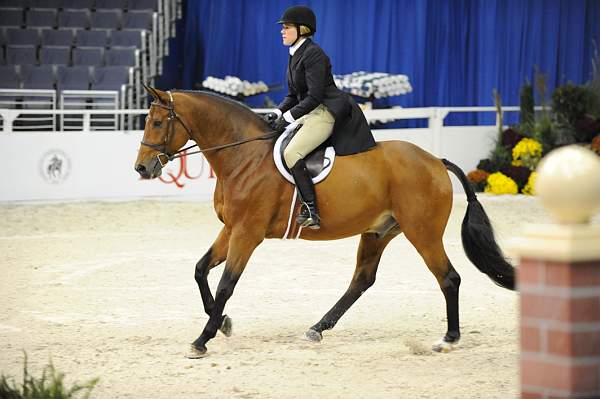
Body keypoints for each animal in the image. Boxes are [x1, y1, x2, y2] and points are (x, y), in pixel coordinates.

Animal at [132, 88, 516, 360]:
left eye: (158, 123)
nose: (142, 168)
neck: (243, 156)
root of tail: (435, 160)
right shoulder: (231, 229)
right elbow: (200, 270)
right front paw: (222, 323)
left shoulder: (247, 234)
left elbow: (227, 284)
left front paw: (203, 338)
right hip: (378, 232)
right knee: (362, 280)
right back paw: (318, 328)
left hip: (423, 233)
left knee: (448, 278)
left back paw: (448, 340)